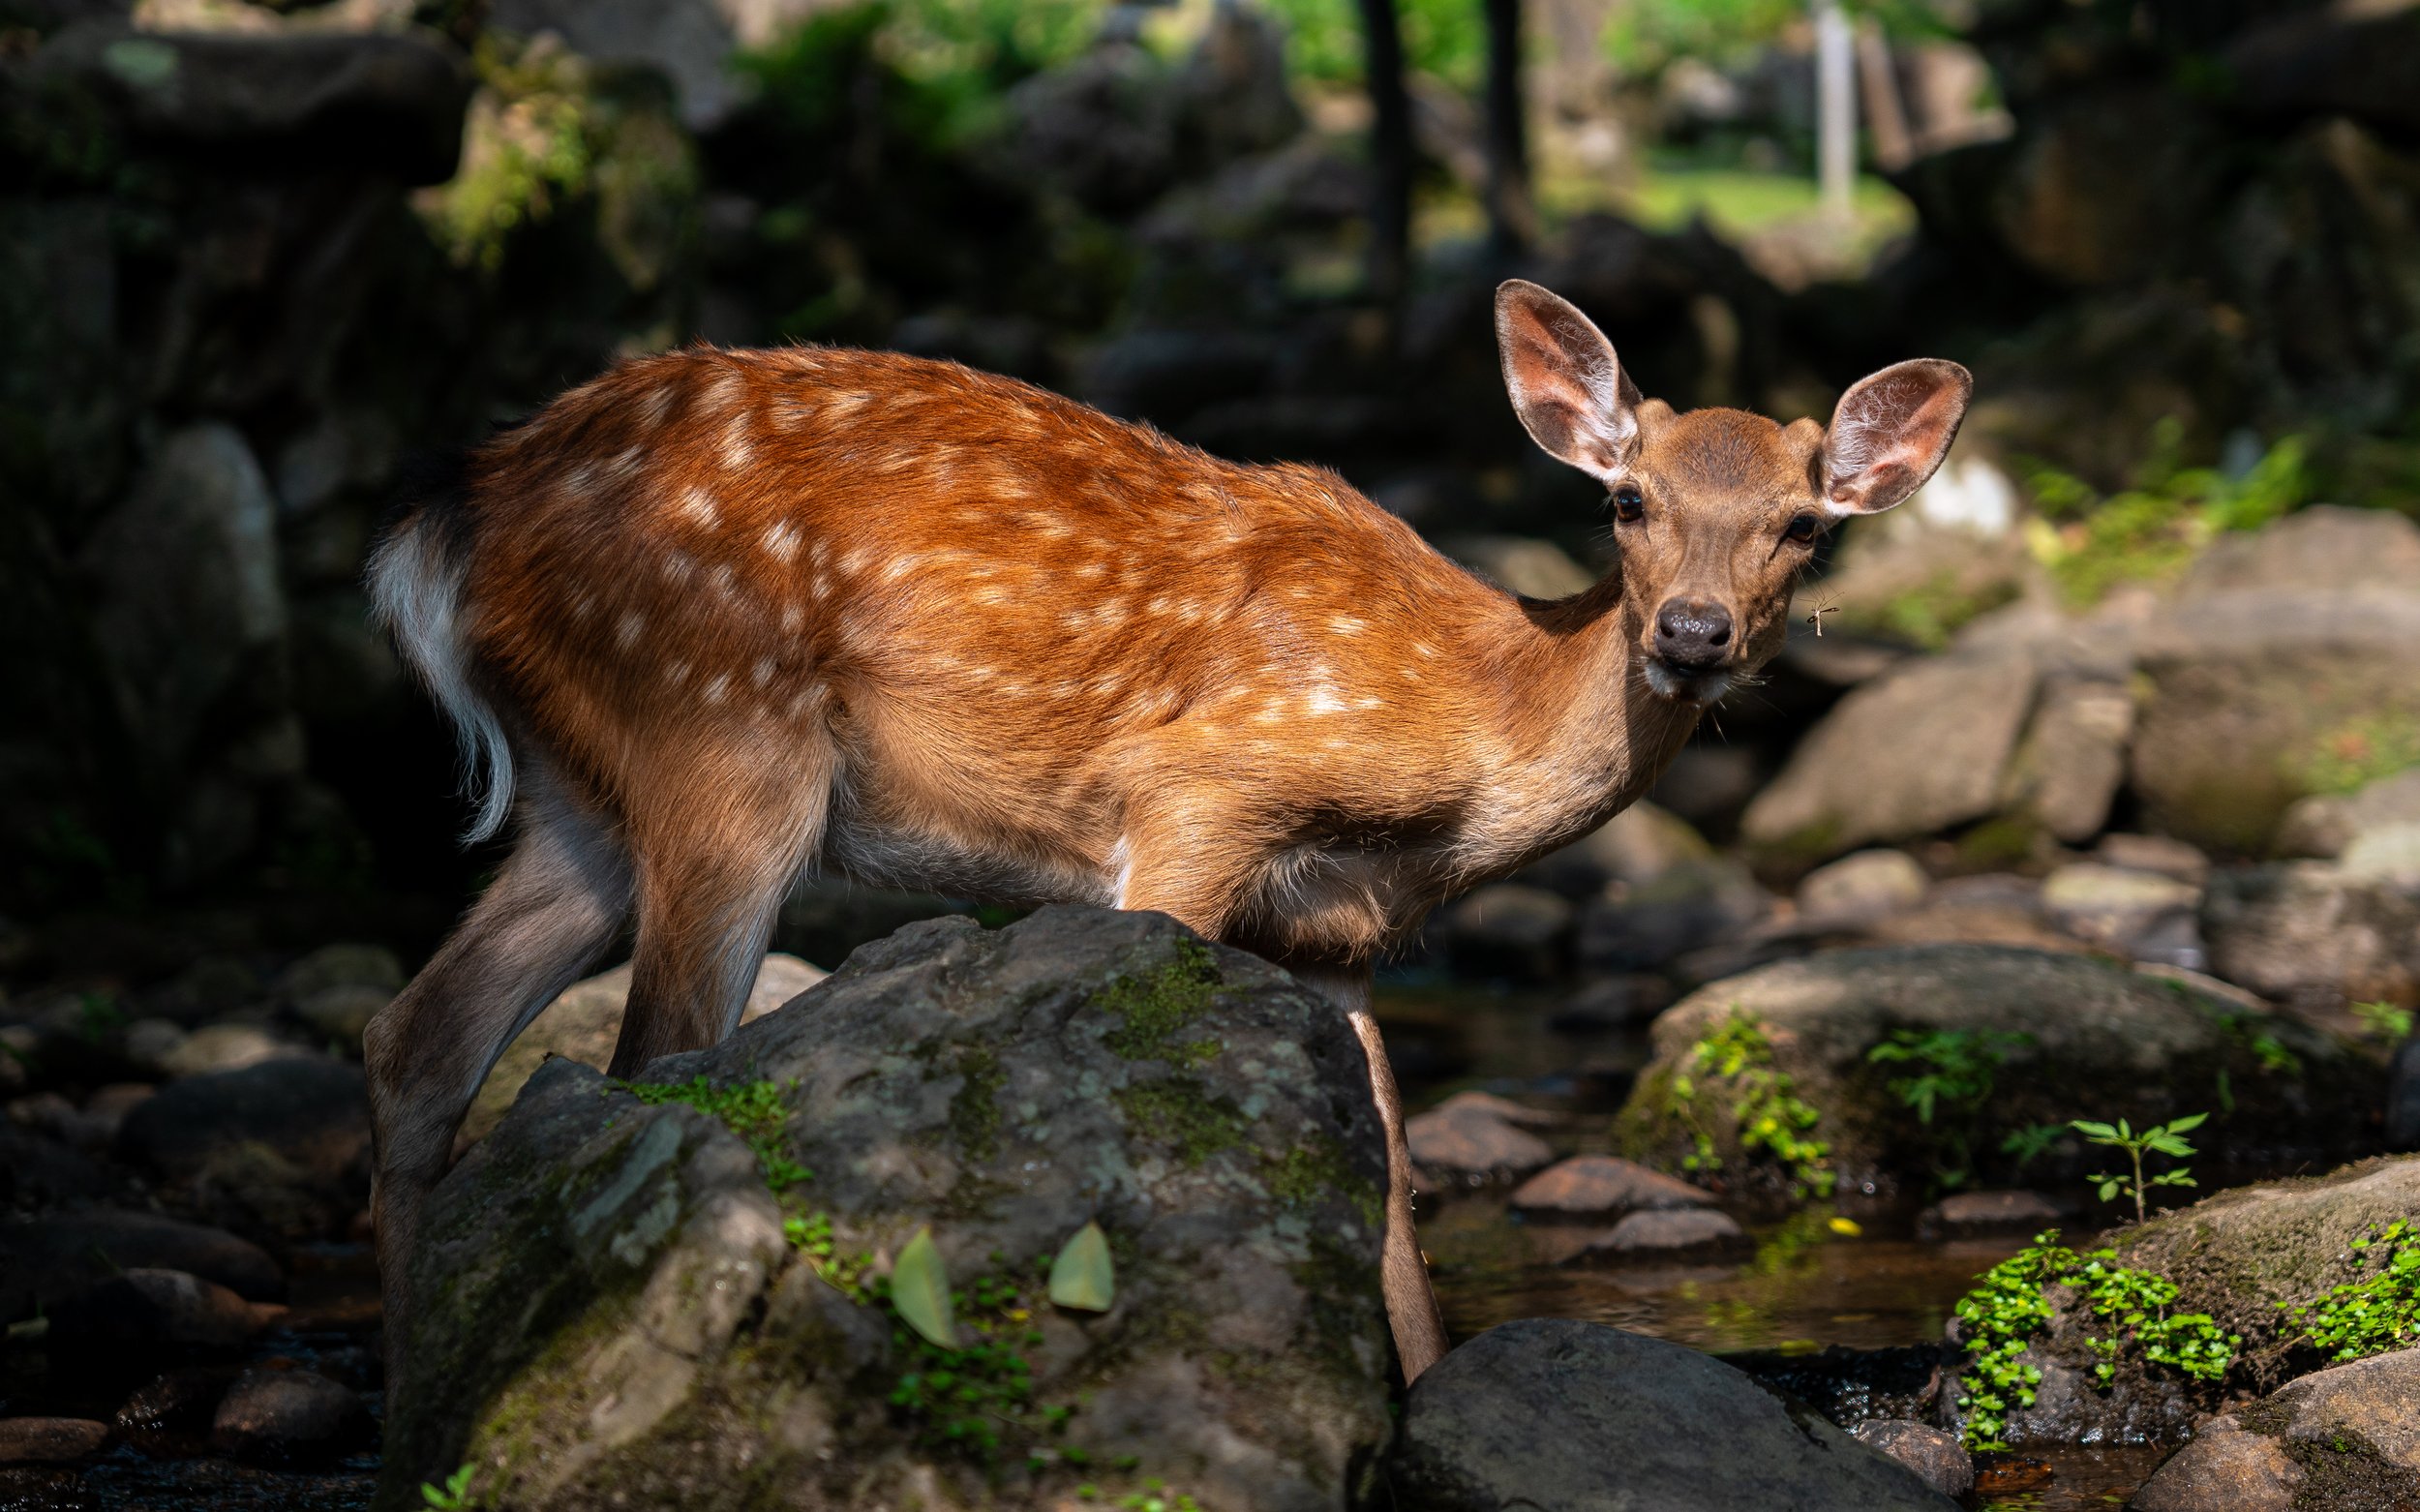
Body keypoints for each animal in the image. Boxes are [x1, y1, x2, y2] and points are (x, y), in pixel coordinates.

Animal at [363, 278, 1970, 1396]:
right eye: (1629, 499)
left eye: (1803, 527)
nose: (1691, 635)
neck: (1469, 739)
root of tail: (445, 526)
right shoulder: (1202, 797)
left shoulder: (1336, 938)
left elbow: (1390, 1186)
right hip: (721, 730)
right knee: (651, 1056)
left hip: (585, 797)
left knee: (420, 1035)